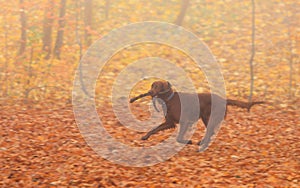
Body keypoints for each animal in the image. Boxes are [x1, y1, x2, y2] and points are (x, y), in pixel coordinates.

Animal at [130, 80, 264, 145]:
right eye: (152, 86)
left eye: (157, 86)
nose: (150, 92)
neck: (169, 99)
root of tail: (223, 99)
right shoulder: (170, 122)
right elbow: (155, 129)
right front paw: (145, 136)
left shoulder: (184, 121)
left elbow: (178, 138)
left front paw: (188, 141)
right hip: (206, 117)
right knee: (211, 131)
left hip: (208, 116)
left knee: (210, 131)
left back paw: (201, 142)